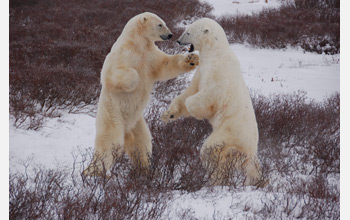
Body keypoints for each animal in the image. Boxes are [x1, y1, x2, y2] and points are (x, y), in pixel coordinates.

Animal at [82, 12, 200, 177]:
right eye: (160, 24)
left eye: (164, 22)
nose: (170, 34)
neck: (138, 44)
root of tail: (126, 128)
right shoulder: (123, 54)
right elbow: (111, 74)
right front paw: (136, 79)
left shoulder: (150, 55)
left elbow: (165, 65)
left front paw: (191, 59)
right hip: (112, 116)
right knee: (109, 142)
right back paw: (93, 171)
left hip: (137, 123)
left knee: (141, 143)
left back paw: (144, 168)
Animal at [161, 17, 266, 187]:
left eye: (188, 32)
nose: (178, 41)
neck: (215, 52)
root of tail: (251, 147)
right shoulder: (201, 69)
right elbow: (190, 90)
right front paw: (169, 114)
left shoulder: (217, 73)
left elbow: (206, 95)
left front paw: (196, 112)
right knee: (249, 165)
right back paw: (258, 180)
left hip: (228, 133)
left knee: (211, 151)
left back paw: (216, 180)